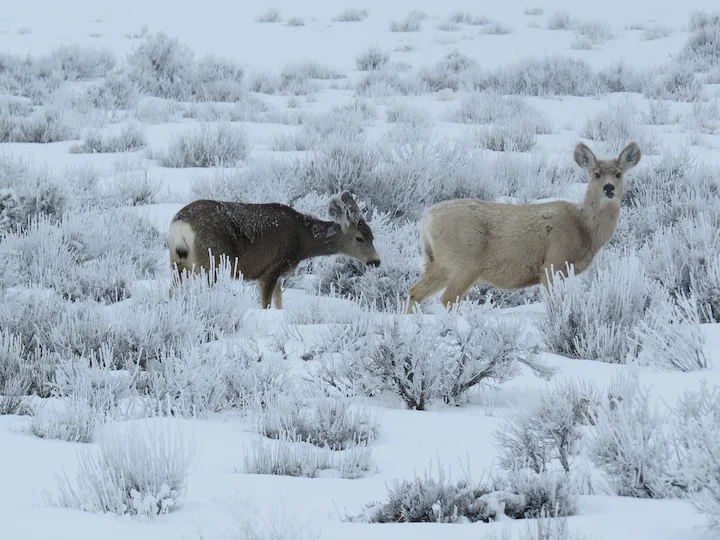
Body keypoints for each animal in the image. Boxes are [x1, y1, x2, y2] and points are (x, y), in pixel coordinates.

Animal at [167, 191, 380, 309]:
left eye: (372, 235)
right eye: (360, 238)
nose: (376, 261)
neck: (303, 241)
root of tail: (180, 222)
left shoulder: (278, 275)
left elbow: (279, 304)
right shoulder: (270, 270)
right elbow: (266, 305)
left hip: (178, 263)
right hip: (213, 261)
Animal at [405, 141, 641, 314]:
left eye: (619, 174)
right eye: (596, 174)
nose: (609, 188)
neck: (583, 226)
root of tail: (426, 219)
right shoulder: (553, 263)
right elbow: (554, 301)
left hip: (438, 263)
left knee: (415, 291)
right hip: (465, 262)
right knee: (448, 298)